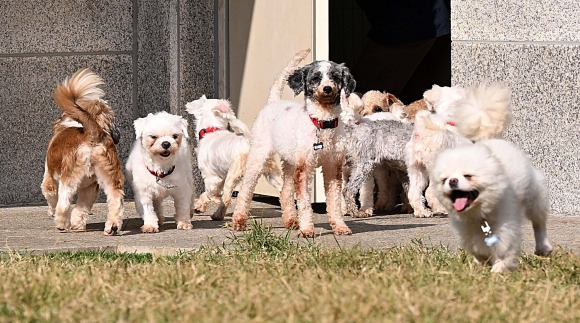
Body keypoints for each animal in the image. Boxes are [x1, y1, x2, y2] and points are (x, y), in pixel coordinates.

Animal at [40, 69, 124, 235]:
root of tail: (92, 133)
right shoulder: (90, 188)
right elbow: (82, 208)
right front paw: (78, 224)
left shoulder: (49, 178)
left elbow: (51, 195)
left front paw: (52, 212)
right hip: (109, 176)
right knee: (115, 198)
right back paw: (112, 227)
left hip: (68, 178)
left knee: (63, 203)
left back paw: (61, 223)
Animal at [230, 49, 356, 237]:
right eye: (315, 78)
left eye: (335, 76)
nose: (327, 88)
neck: (322, 123)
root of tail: (274, 101)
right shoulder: (305, 168)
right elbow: (304, 202)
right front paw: (307, 230)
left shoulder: (333, 166)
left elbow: (334, 201)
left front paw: (340, 226)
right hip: (259, 156)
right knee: (246, 189)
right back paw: (239, 220)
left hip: (290, 162)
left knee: (284, 192)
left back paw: (291, 221)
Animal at [430, 84, 552, 274]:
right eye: (445, 179)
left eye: (468, 176)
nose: (453, 181)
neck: (479, 214)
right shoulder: (468, 231)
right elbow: (478, 249)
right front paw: (482, 263)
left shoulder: (505, 225)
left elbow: (504, 250)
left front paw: (499, 269)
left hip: (534, 197)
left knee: (539, 223)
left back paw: (543, 247)